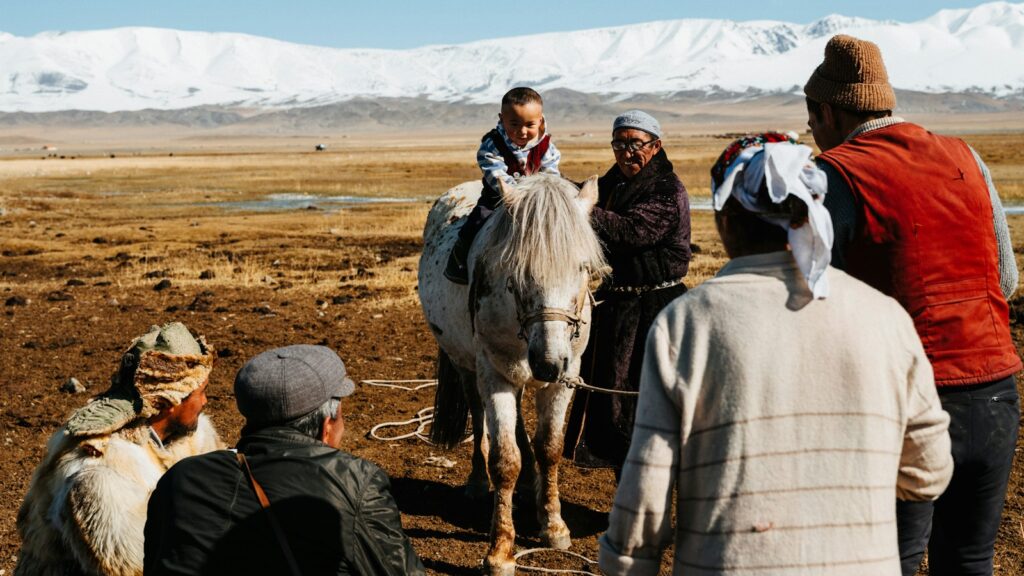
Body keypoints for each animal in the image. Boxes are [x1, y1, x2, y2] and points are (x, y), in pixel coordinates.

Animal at [418, 174, 605, 576]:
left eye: (582, 268)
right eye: (517, 272)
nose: (548, 363)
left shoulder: (568, 375)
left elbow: (550, 447)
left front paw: (553, 525)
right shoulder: (494, 373)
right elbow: (505, 459)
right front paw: (500, 550)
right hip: (467, 365)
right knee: (479, 418)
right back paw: (477, 484)